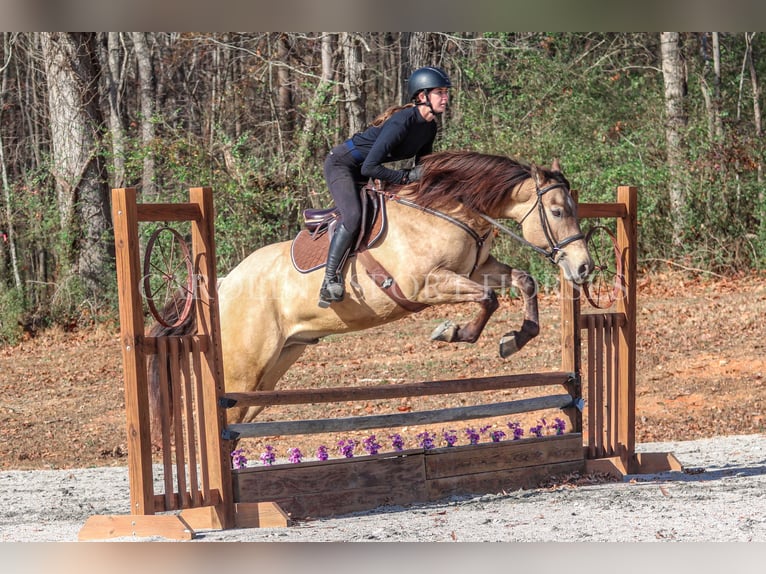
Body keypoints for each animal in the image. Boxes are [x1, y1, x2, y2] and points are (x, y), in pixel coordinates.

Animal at [148, 151, 592, 438]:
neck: (449, 209)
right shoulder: (429, 284)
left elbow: (523, 282)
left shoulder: (476, 271)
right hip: (244, 366)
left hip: (273, 368)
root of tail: (224, 284)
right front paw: (452, 333)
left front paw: (514, 340)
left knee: (240, 415)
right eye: (557, 212)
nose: (583, 267)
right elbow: (487, 300)